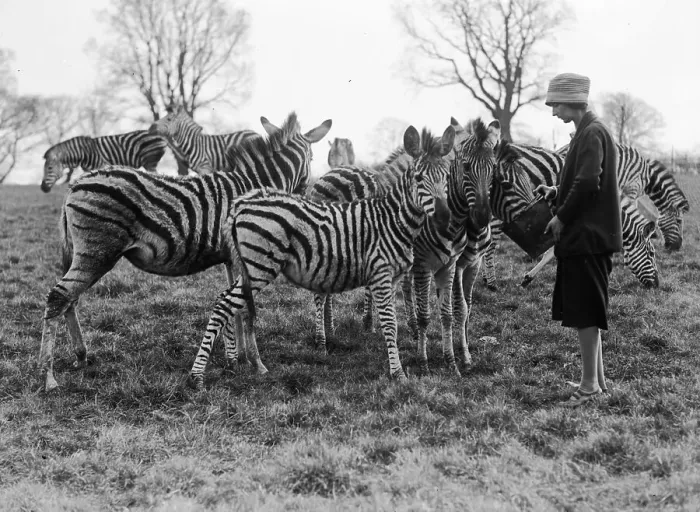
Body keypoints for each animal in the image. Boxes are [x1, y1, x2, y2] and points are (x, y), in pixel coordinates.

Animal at [38, 112, 332, 392]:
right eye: (312, 158)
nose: (307, 194)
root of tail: (75, 185)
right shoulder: (249, 257)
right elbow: (246, 309)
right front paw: (256, 363)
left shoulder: (231, 258)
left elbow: (234, 309)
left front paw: (234, 358)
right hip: (98, 252)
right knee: (59, 296)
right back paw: (48, 377)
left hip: (84, 253)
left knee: (69, 299)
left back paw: (80, 356)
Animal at [187, 125, 453, 387]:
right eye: (419, 179)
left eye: (447, 177)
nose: (444, 216)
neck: (392, 218)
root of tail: (241, 204)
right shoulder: (381, 274)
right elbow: (390, 323)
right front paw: (397, 373)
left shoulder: (391, 278)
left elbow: (391, 318)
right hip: (259, 266)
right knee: (223, 304)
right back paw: (197, 375)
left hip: (249, 267)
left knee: (228, 302)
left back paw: (251, 364)